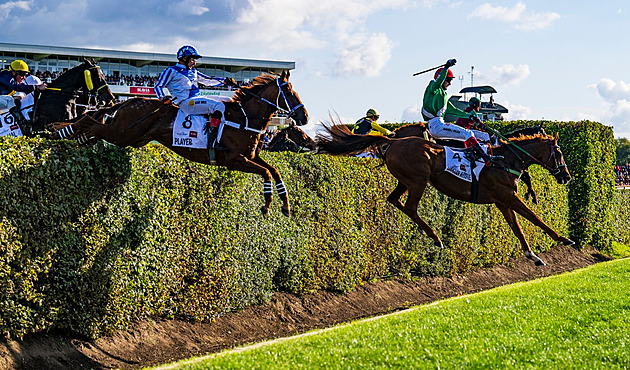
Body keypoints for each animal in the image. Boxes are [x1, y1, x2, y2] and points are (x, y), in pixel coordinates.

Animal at [52, 69, 308, 217]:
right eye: (288, 91)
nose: (304, 116)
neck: (244, 118)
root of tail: (131, 101)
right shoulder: (234, 159)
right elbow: (266, 173)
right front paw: (267, 205)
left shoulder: (252, 155)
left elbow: (274, 171)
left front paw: (285, 205)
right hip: (122, 131)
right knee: (89, 119)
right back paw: (61, 131)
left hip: (131, 137)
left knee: (94, 123)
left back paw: (72, 136)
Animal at [318, 124, 576, 266]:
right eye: (559, 153)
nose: (566, 176)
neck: (503, 160)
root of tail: (392, 141)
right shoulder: (508, 197)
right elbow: (536, 219)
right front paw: (564, 239)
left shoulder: (502, 202)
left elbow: (517, 228)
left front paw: (533, 256)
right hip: (419, 180)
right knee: (410, 207)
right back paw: (436, 237)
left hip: (405, 181)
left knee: (394, 200)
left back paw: (429, 233)